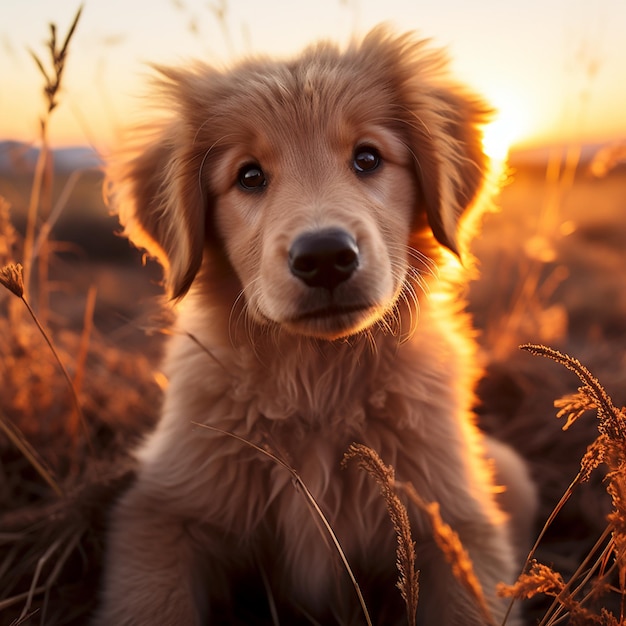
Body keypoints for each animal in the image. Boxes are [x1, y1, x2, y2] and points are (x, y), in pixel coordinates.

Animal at [92, 25, 532, 624]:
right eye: (249, 176)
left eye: (367, 158)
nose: (324, 256)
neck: (318, 386)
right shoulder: (161, 512)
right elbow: (152, 603)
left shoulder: (458, 523)